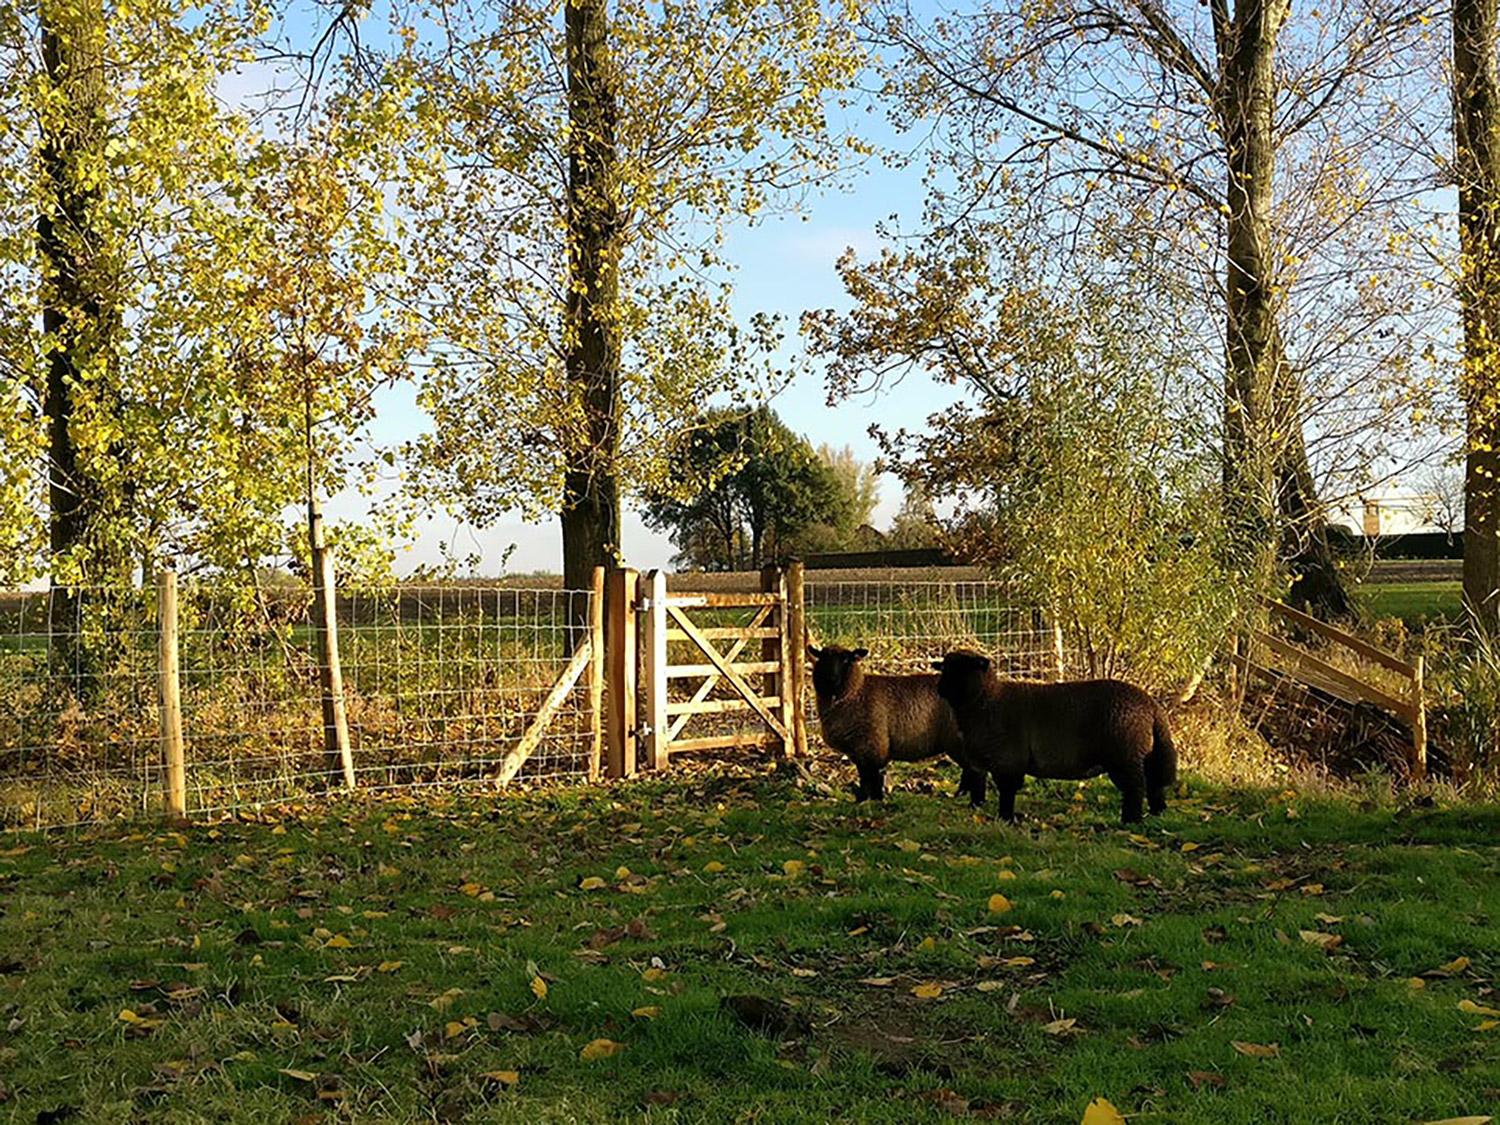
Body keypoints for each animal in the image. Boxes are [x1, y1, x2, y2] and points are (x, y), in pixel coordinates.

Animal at [810, 642, 984, 804]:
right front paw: (862, 801)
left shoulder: (873, 746)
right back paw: (962, 794)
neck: (856, 691)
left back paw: (976, 802)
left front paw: (875, 801)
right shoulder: (859, 752)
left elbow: (873, 779)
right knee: (970, 771)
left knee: (976, 771)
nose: (831, 679)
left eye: (846, 659)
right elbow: (864, 778)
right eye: (822, 658)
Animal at [930, 648, 1176, 822]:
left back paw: (1130, 821)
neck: (988, 700)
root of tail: (1152, 705)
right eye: (944, 668)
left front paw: (1006, 819)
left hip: (1124, 756)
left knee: (1135, 788)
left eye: (964, 669)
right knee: (1154, 783)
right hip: (1147, 754)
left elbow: (1007, 792)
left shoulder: (1008, 760)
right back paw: (1157, 814)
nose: (940, 688)